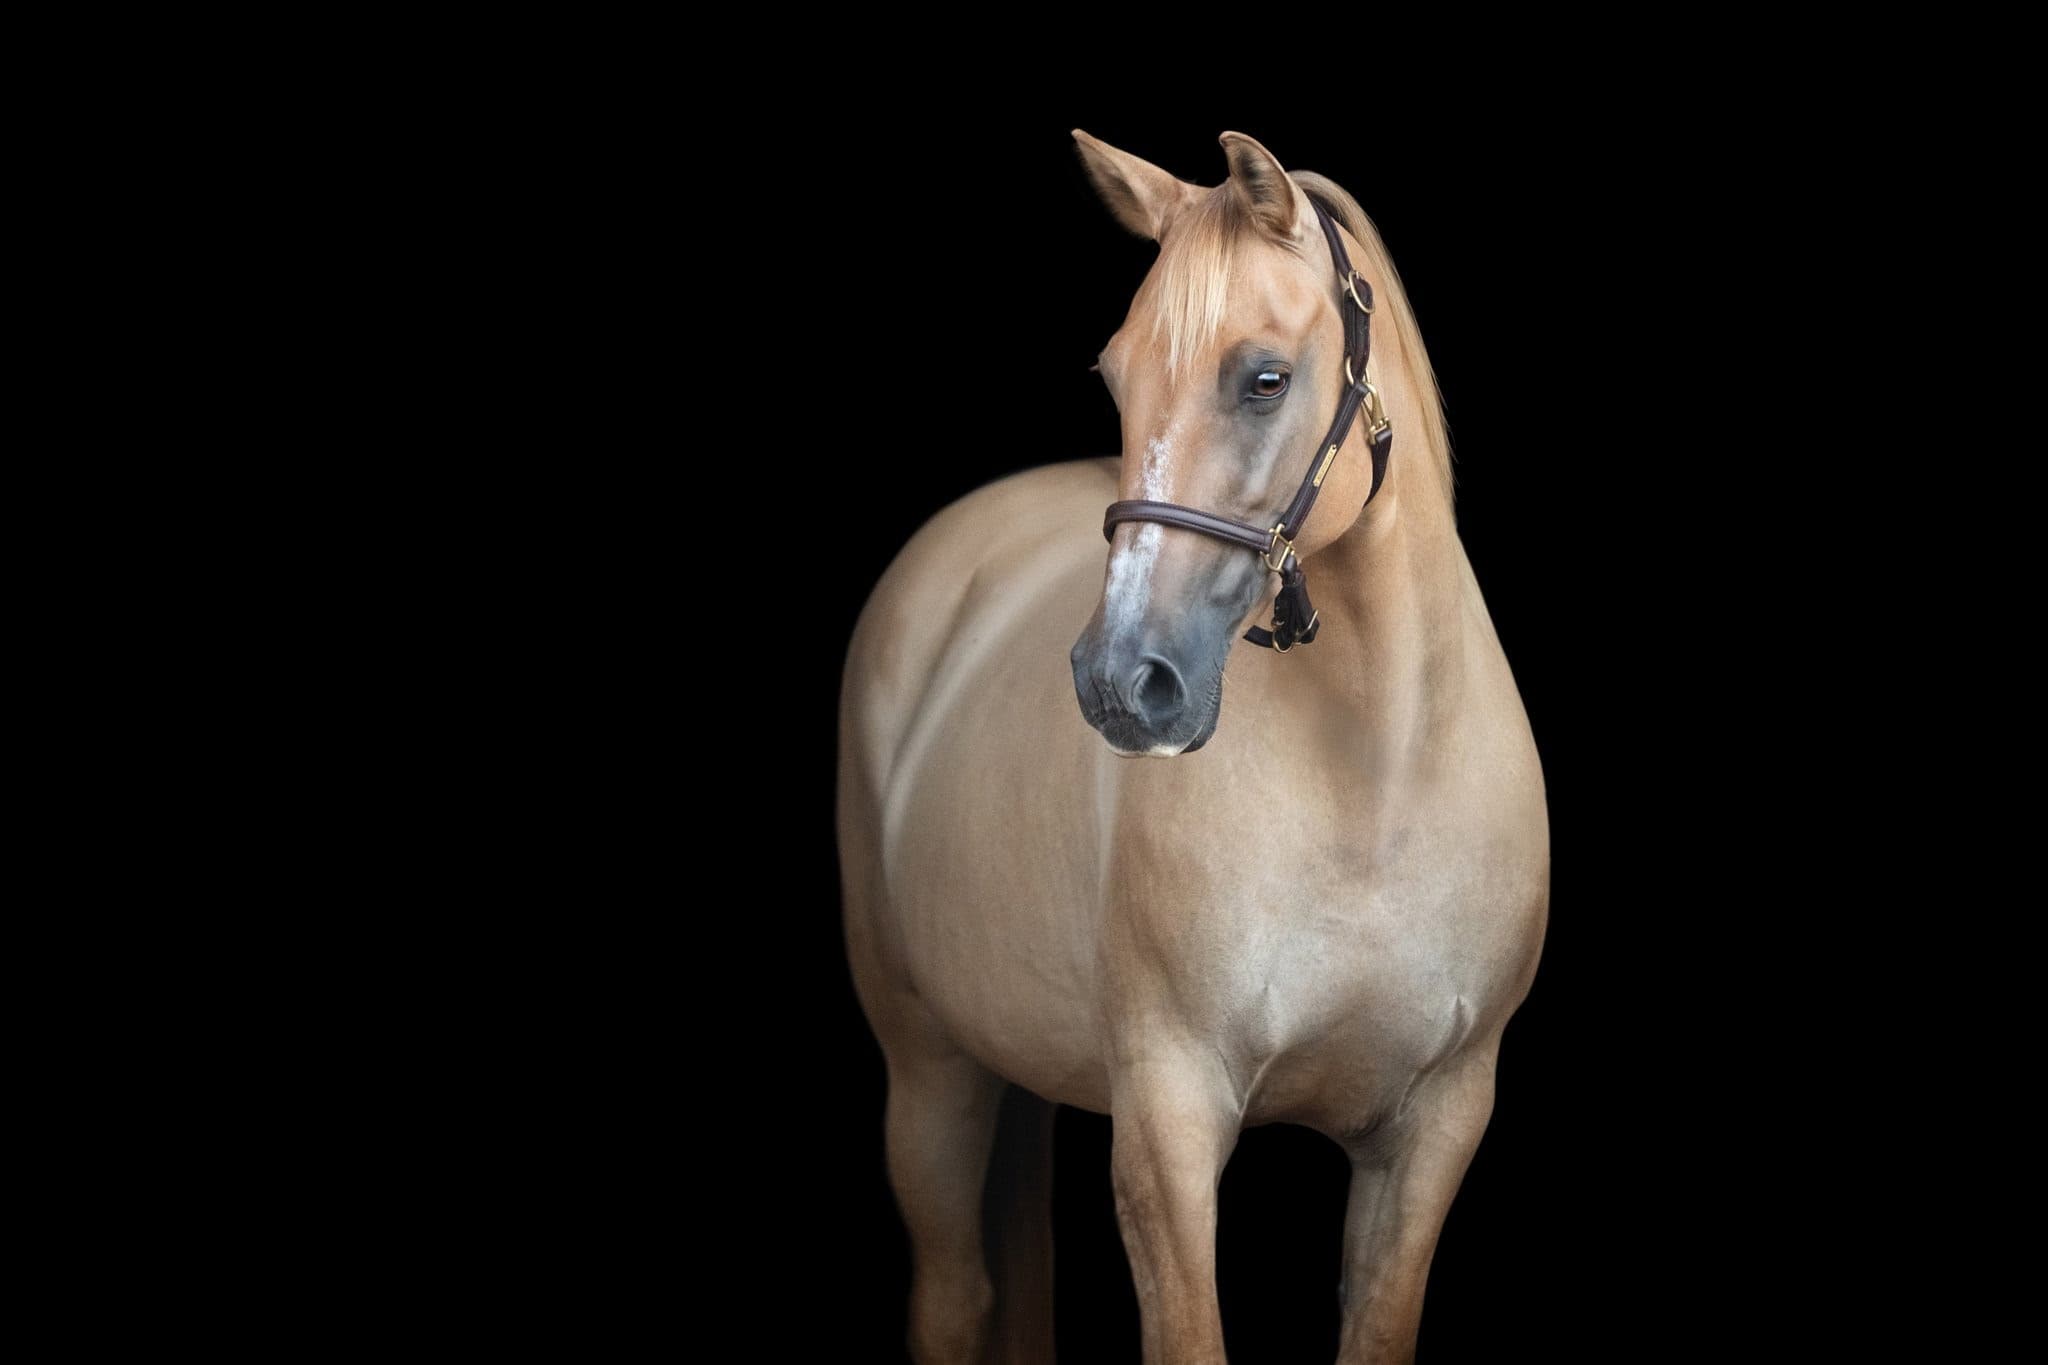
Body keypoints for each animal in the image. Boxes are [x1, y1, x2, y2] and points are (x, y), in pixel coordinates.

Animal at [836, 128, 1550, 1364]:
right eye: (1115, 377)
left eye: (1263, 377)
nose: (1123, 682)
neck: (1374, 788)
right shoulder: (1168, 1126)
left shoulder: (1435, 1127)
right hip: (928, 1070)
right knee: (953, 1297)